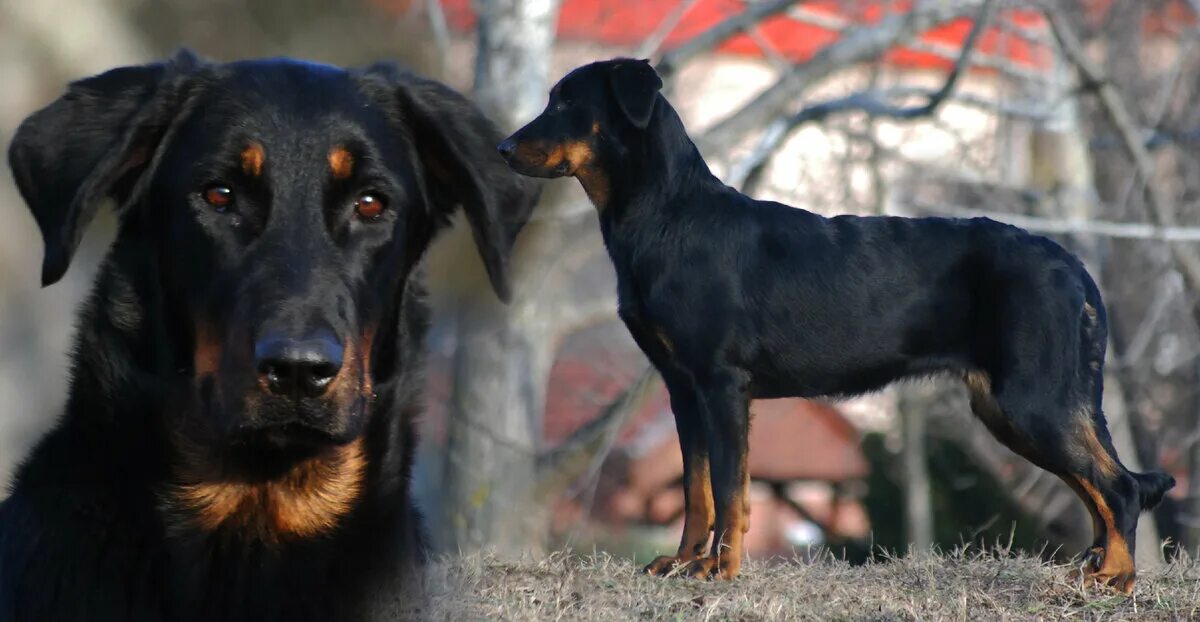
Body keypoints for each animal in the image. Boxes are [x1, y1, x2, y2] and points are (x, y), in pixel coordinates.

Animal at [496, 59, 1171, 595]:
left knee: (1119, 488)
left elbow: (731, 491)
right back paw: (1094, 570)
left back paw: (1116, 579)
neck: (666, 213)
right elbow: (697, 489)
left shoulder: (722, 383)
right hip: (1017, 406)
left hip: (1033, 400)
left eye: (566, 102)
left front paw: (721, 572)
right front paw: (685, 563)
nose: (502, 149)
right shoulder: (682, 389)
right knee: (1101, 488)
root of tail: (1074, 266)